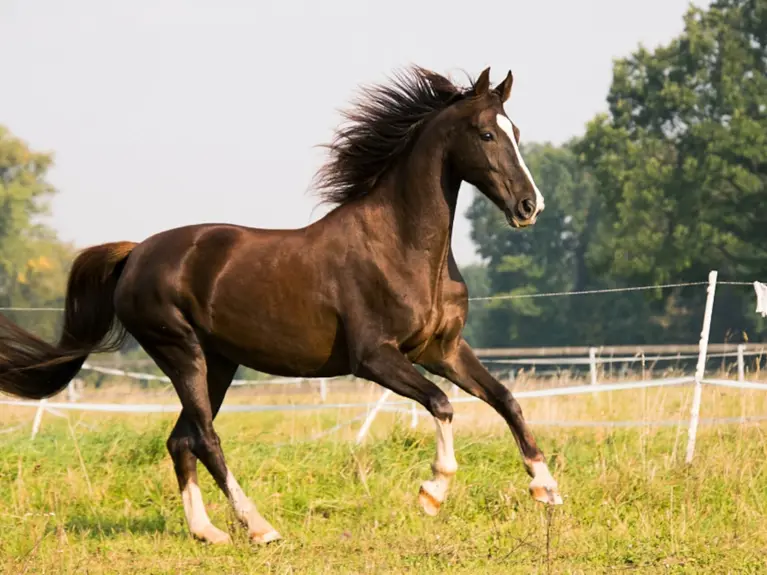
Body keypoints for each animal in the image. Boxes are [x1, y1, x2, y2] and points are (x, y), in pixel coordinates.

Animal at [0, 65, 562, 545]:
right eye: (486, 134)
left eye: (516, 130)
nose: (529, 207)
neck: (400, 246)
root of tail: (136, 253)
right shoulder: (374, 358)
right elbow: (442, 404)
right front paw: (432, 493)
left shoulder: (442, 350)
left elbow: (506, 400)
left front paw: (546, 488)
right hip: (182, 353)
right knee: (206, 439)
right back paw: (259, 527)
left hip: (218, 364)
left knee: (181, 440)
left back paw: (208, 532)